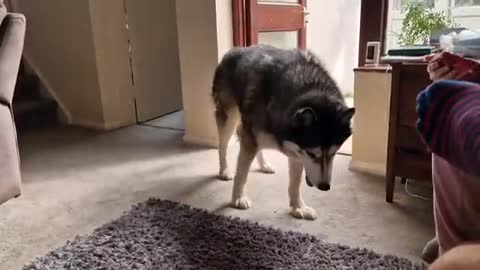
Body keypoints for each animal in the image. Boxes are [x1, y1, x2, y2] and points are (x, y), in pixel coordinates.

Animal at [212, 45, 354, 220]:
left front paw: (298, 207)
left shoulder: (296, 152)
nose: (324, 186)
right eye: (312, 154)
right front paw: (238, 198)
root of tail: (233, 49)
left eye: (333, 153)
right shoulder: (253, 138)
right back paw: (224, 170)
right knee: (223, 146)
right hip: (230, 117)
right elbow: (242, 174)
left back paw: (264, 165)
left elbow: (295, 184)